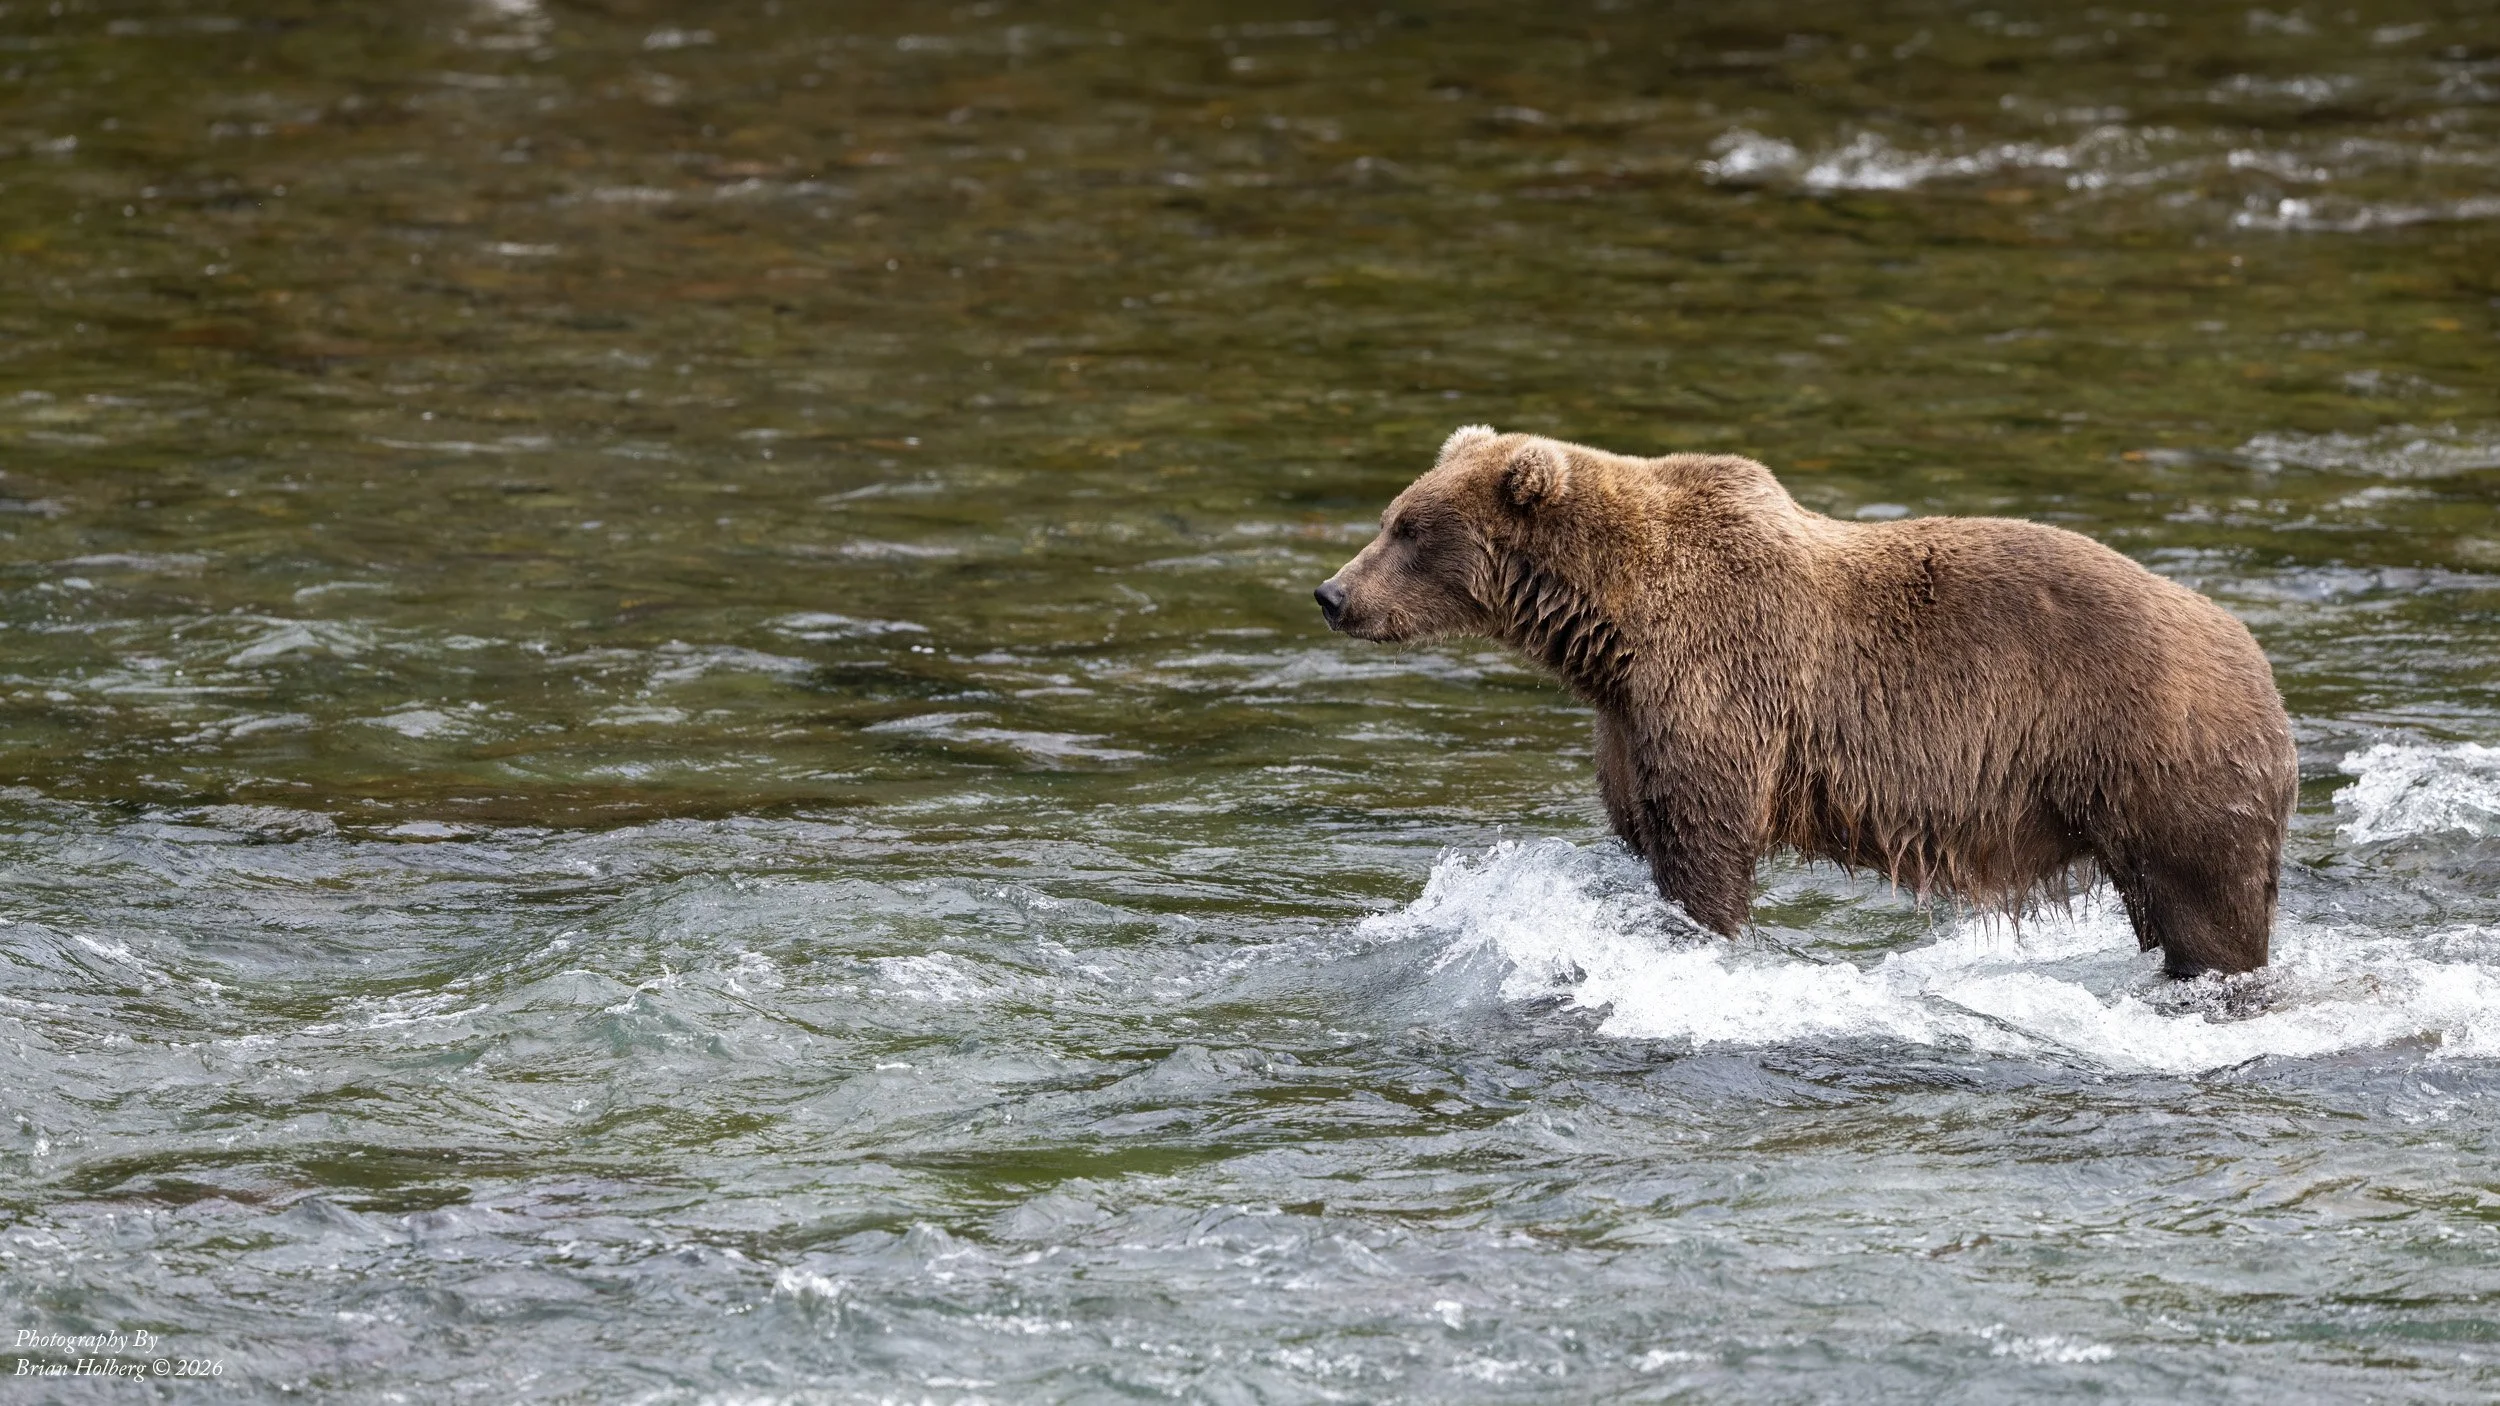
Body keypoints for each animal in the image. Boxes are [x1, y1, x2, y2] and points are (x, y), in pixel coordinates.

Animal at [1314, 426, 2298, 976]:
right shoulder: (1628, 723)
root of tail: (2266, 674)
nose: (1332, 594)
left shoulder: (1717, 688)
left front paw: (1702, 936)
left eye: (1408, 529)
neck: (1611, 630)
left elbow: (1705, 849)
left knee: (2208, 912)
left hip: (2159, 762)